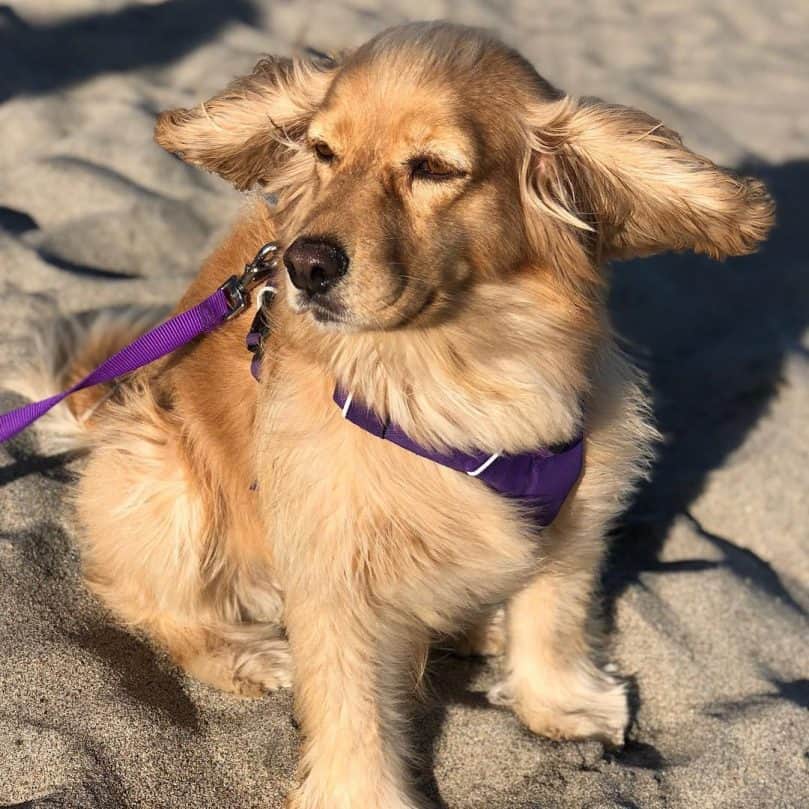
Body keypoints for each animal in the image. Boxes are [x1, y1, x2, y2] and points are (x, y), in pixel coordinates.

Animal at [26, 20, 772, 808]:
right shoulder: (334, 567)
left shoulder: (575, 511)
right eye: (323, 152)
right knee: (152, 602)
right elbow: (353, 706)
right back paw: (246, 655)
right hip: (161, 471)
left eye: (434, 168)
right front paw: (361, 792)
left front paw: (561, 702)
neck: (454, 369)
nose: (305, 264)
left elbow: (554, 616)